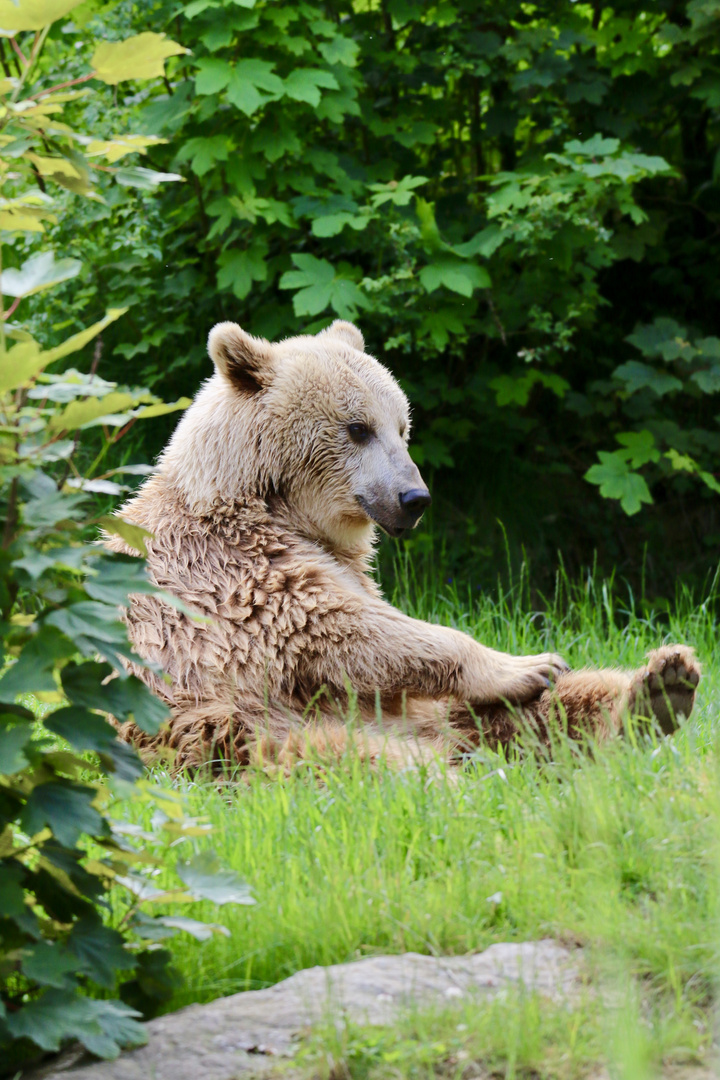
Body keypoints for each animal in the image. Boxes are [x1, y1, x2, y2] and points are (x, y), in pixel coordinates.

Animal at [104, 315, 699, 773]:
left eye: (403, 426)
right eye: (357, 427)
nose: (415, 497)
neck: (259, 499)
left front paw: (548, 667)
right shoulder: (227, 571)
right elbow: (335, 626)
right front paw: (524, 664)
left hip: (426, 715)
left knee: (552, 709)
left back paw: (660, 689)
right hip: (243, 727)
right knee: (358, 763)